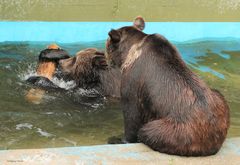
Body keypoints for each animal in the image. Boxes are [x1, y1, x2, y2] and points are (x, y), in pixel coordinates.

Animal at [106, 16, 230, 156]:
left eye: (107, 45)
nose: (107, 61)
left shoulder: (132, 81)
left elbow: (131, 114)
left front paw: (119, 139)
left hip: (177, 129)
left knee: (148, 131)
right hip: (219, 102)